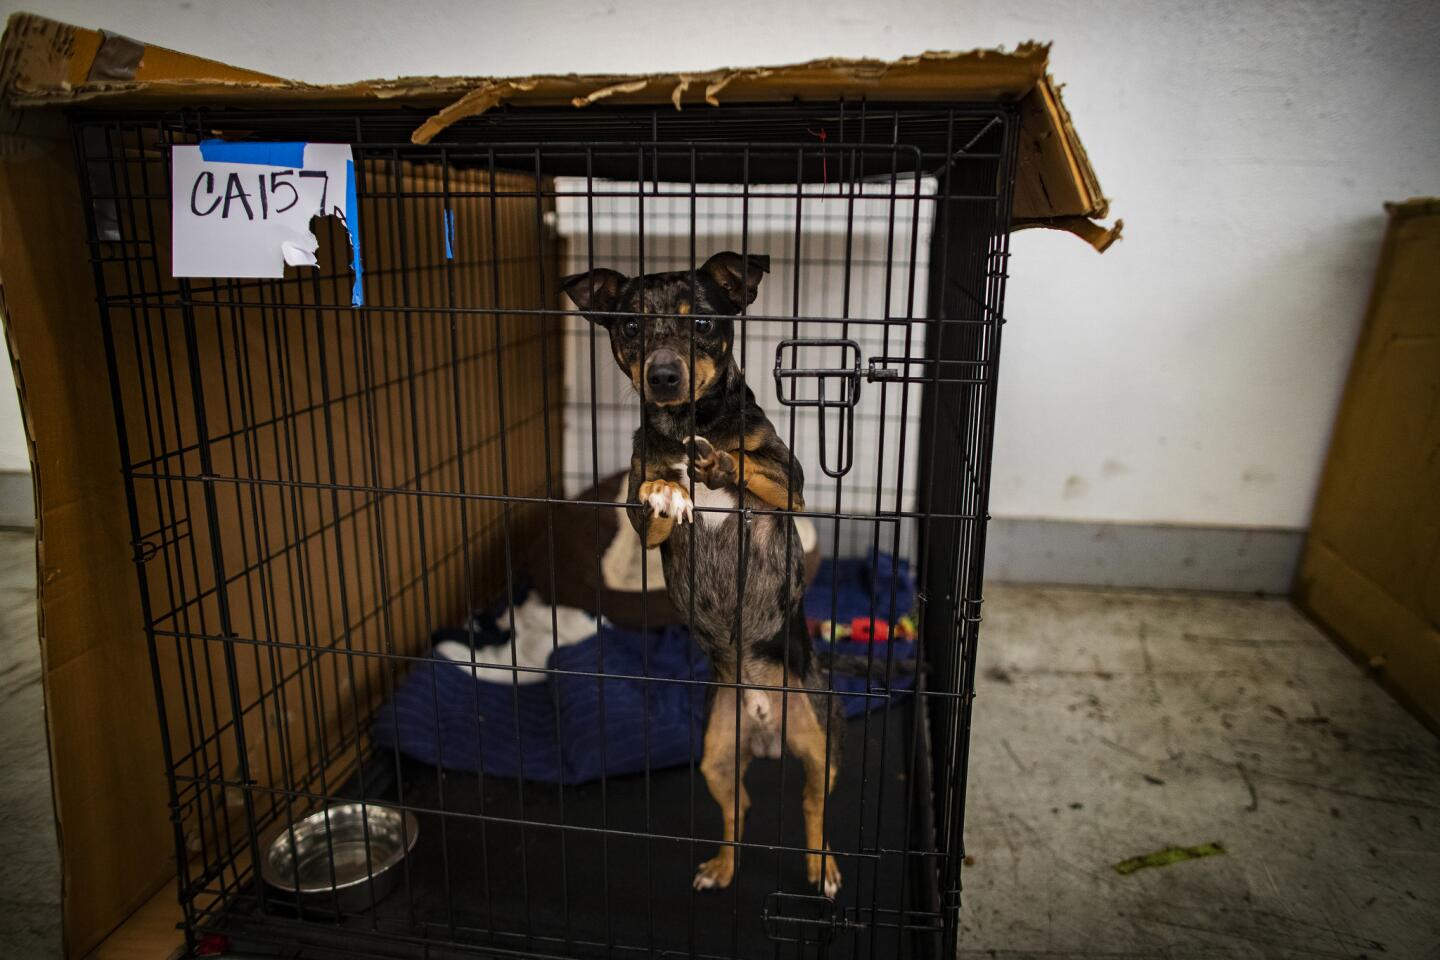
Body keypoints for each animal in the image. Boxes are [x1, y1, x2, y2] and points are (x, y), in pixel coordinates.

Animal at [555, 251, 840, 898]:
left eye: (705, 323)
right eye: (629, 328)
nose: (663, 376)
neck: (692, 420)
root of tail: (764, 723)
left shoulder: (789, 484)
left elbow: (750, 461)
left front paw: (715, 462)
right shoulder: (644, 523)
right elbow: (651, 491)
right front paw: (669, 484)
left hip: (820, 743)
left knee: (814, 806)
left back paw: (824, 867)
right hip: (714, 753)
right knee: (739, 811)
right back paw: (722, 867)